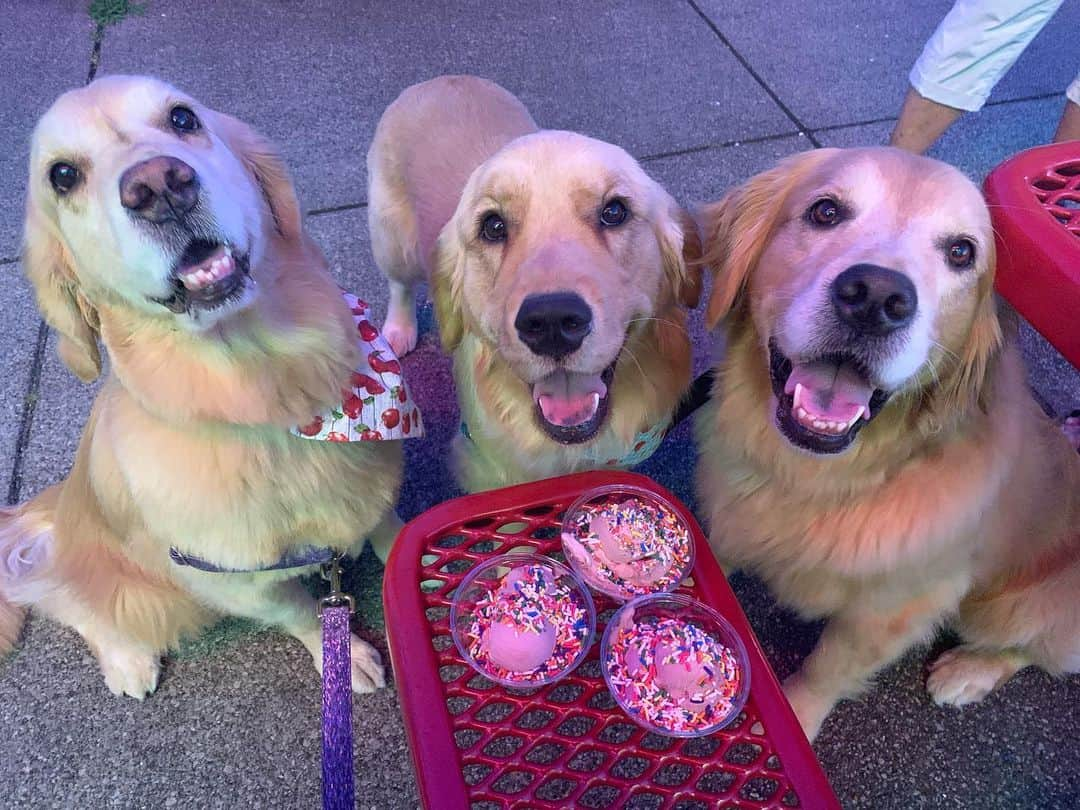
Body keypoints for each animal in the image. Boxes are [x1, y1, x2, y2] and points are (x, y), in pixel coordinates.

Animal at [0, 74, 406, 699]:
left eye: (182, 118)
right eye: (62, 175)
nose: (159, 185)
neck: (273, 401)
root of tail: (60, 504)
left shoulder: (373, 494)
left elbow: (394, 536)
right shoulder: (235, 583)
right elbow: (300, 612)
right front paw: (341, 656)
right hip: (147, 593)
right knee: (63, 594)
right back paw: (125, 658)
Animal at [367, 76, 699, 492]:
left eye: (614, 211)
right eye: (493, 226)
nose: (552, 323)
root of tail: (442, 79)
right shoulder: (486, 469)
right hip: (394, 240)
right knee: (399, 284)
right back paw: (399, 329)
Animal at [695, 145, 1080, 743]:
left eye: (961, 252)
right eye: (825, 212)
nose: (876, 297)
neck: (823, 478)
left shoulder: (895, 608)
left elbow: (829, 666)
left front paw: (796, 715)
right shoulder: (735, 515)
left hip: (1014, 607)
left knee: (1033, 648)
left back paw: (968, 670)